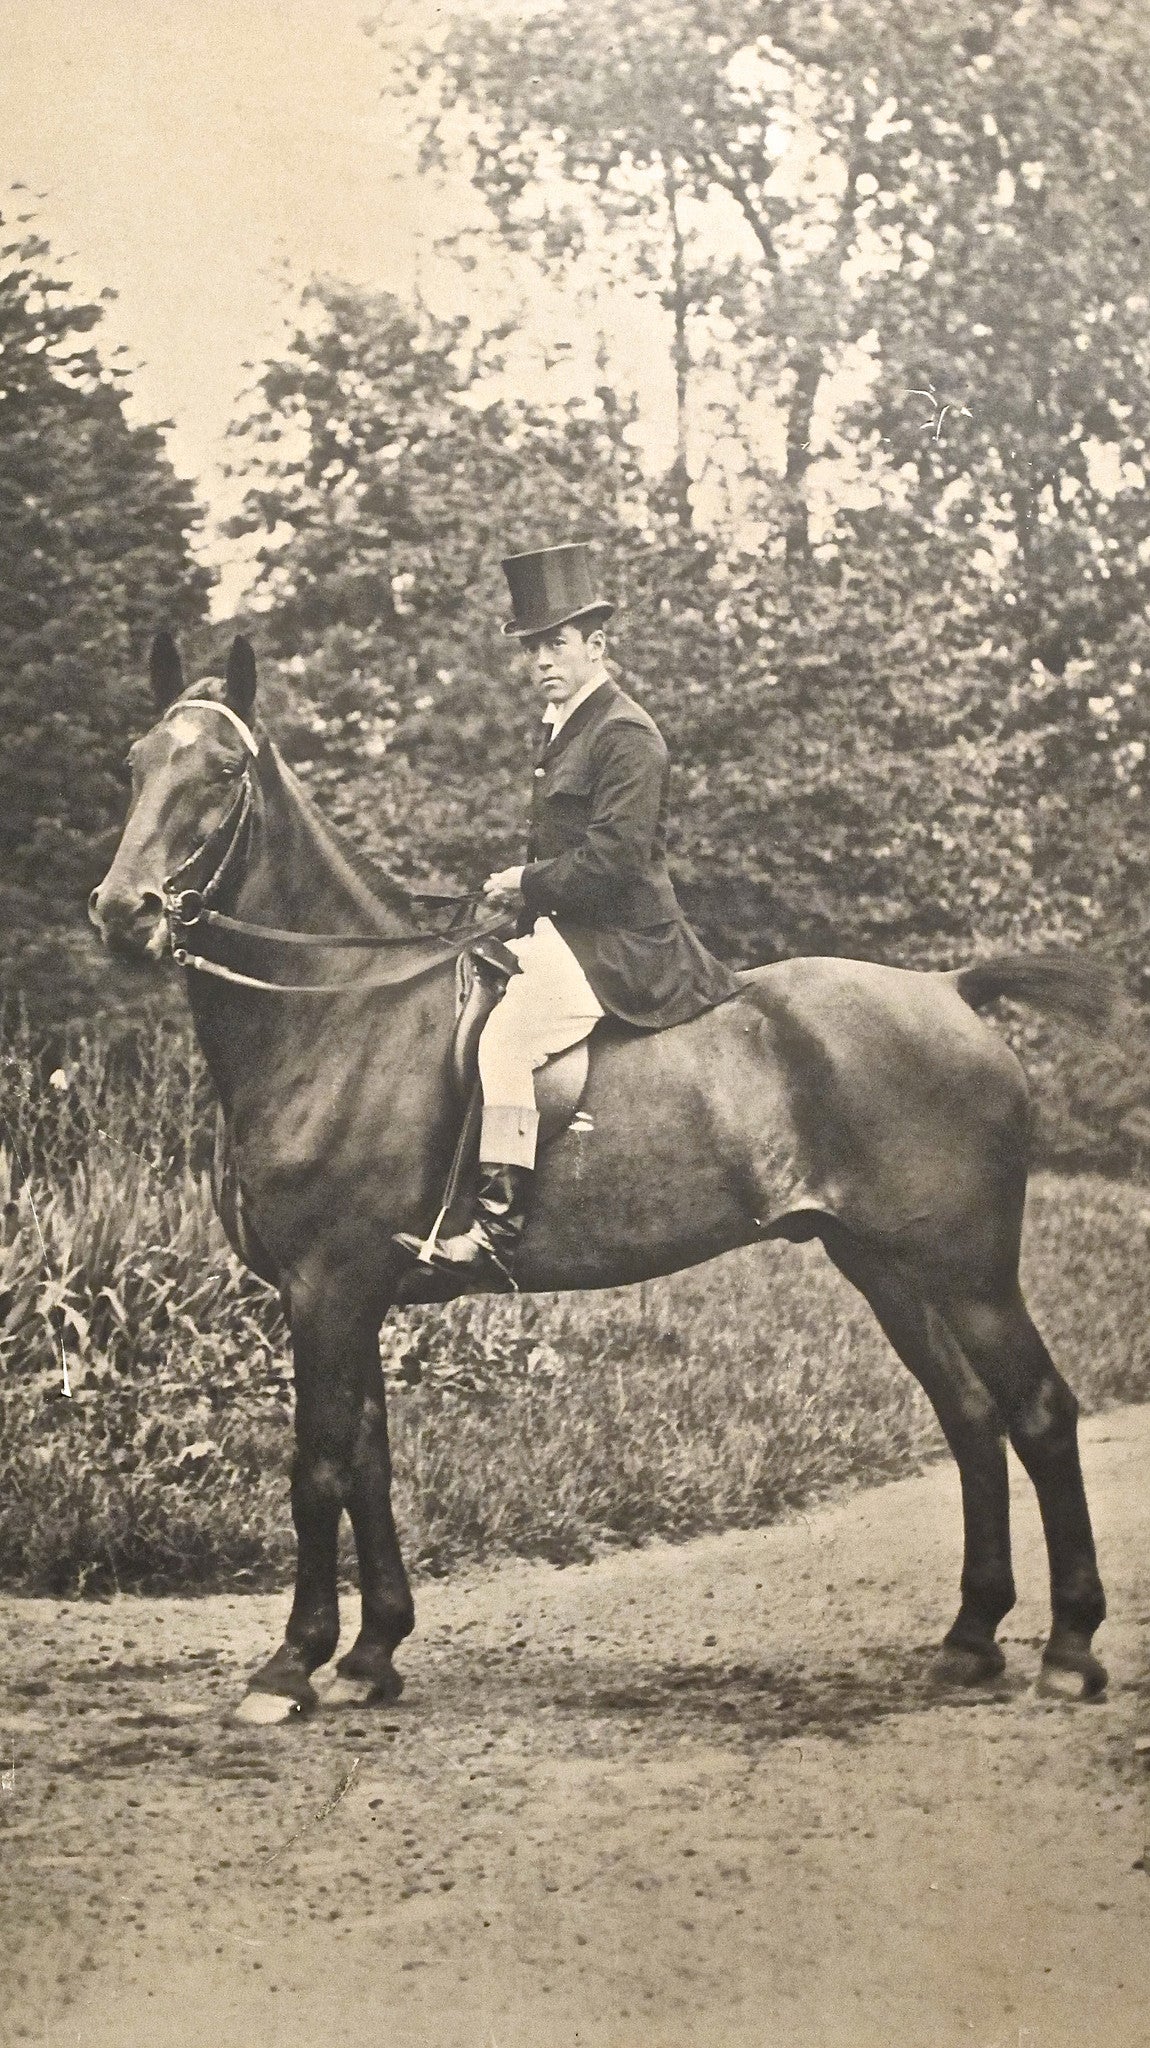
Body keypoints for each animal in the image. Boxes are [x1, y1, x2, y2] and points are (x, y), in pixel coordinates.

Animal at [89, 630, 1113, 1720]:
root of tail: (951, 989)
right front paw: (372, 1653)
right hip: (885, 1266)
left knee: (1039, 1414)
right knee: (970, 1418)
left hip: (968, 1272)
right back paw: (970, 1637)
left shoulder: (329, 1286)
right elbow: (369, 1459)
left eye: (221, 772)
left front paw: (292, 1664)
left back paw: (1070, 1647)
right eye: (134, 763)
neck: (340, 1009)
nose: (123, 913)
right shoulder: (342, 1295)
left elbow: (318, 1466)